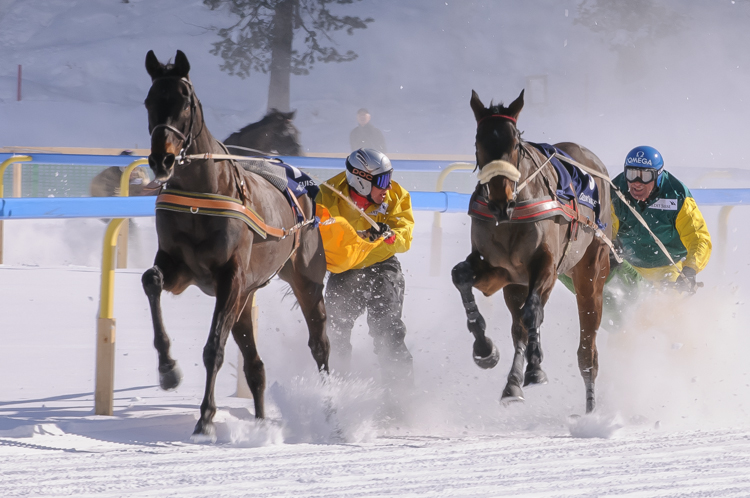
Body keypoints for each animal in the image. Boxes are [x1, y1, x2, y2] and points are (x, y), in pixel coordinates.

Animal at [141, 50, 328, 440]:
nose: (161, 160)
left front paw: (206, 417)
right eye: (150, 101)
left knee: (320, 345)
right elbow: (151, 280)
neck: (202, 193)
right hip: (245, 297)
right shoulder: (179, 266)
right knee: (256, 366)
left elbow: (214, 348)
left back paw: (331, 405)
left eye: (185, 102)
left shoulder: (230, 278)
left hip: (304, 280)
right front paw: (168, 369)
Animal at [456, 91, 612, 414]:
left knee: (587, 348)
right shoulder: (501, 270)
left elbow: (532, 312)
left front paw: (536, 366)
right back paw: (512, 383)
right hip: (517, 282)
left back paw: (590, 407)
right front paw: (484, 347)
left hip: (591, 269)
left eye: (514, 144)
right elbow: (460, 274)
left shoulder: (546, 265)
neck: (511, 215)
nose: (500, 200)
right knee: (519, 327)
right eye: (479, 142)